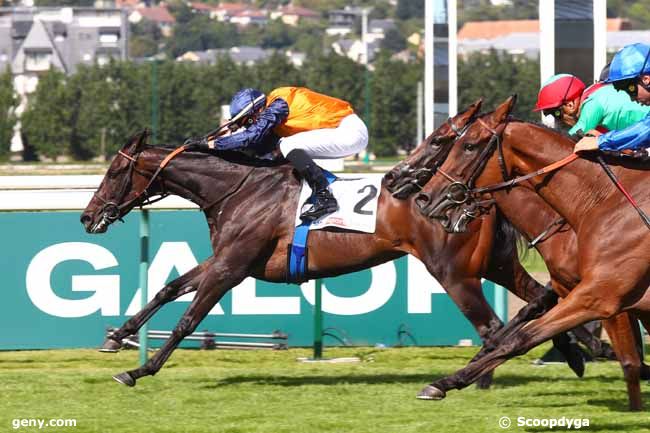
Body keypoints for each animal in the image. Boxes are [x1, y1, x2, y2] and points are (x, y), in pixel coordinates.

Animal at [78, 103, 580, 386]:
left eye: (114, 172)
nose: (87, 217)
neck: (240, 188)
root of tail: (473, 196)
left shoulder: (231, 267)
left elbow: (187, 319)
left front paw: (139, 370)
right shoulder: (225, 259)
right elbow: (167, 288)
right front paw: (117, 336)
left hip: (453, 272)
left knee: (493, 328)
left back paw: (474, 380)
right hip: (494, 263)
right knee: (537, 297)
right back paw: (574, 352)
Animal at [418, 96, 648, 410]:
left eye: (468, 145)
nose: (424, 197)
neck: (600, 200)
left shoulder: (601, 295)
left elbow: (524, 336)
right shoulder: (576, 288)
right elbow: (529, 314)